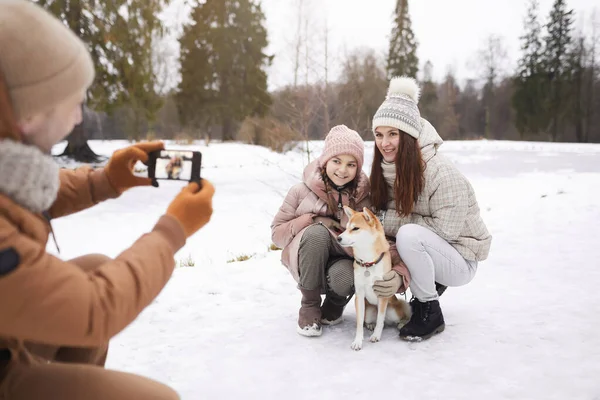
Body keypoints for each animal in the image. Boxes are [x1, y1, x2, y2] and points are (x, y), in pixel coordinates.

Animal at [338, 206, 412, 350]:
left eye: (355, 228)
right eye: (346, 227)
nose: (338, 238)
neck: (368, 263)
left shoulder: (382, 294)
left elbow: (380, 320)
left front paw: (376, 336)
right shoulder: (359, 295)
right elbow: (359, 323)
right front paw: (358, 341)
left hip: (393, 309)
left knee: (399, 316)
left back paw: (402, 323)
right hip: (369, 311)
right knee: (369, 320)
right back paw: (370, 325)